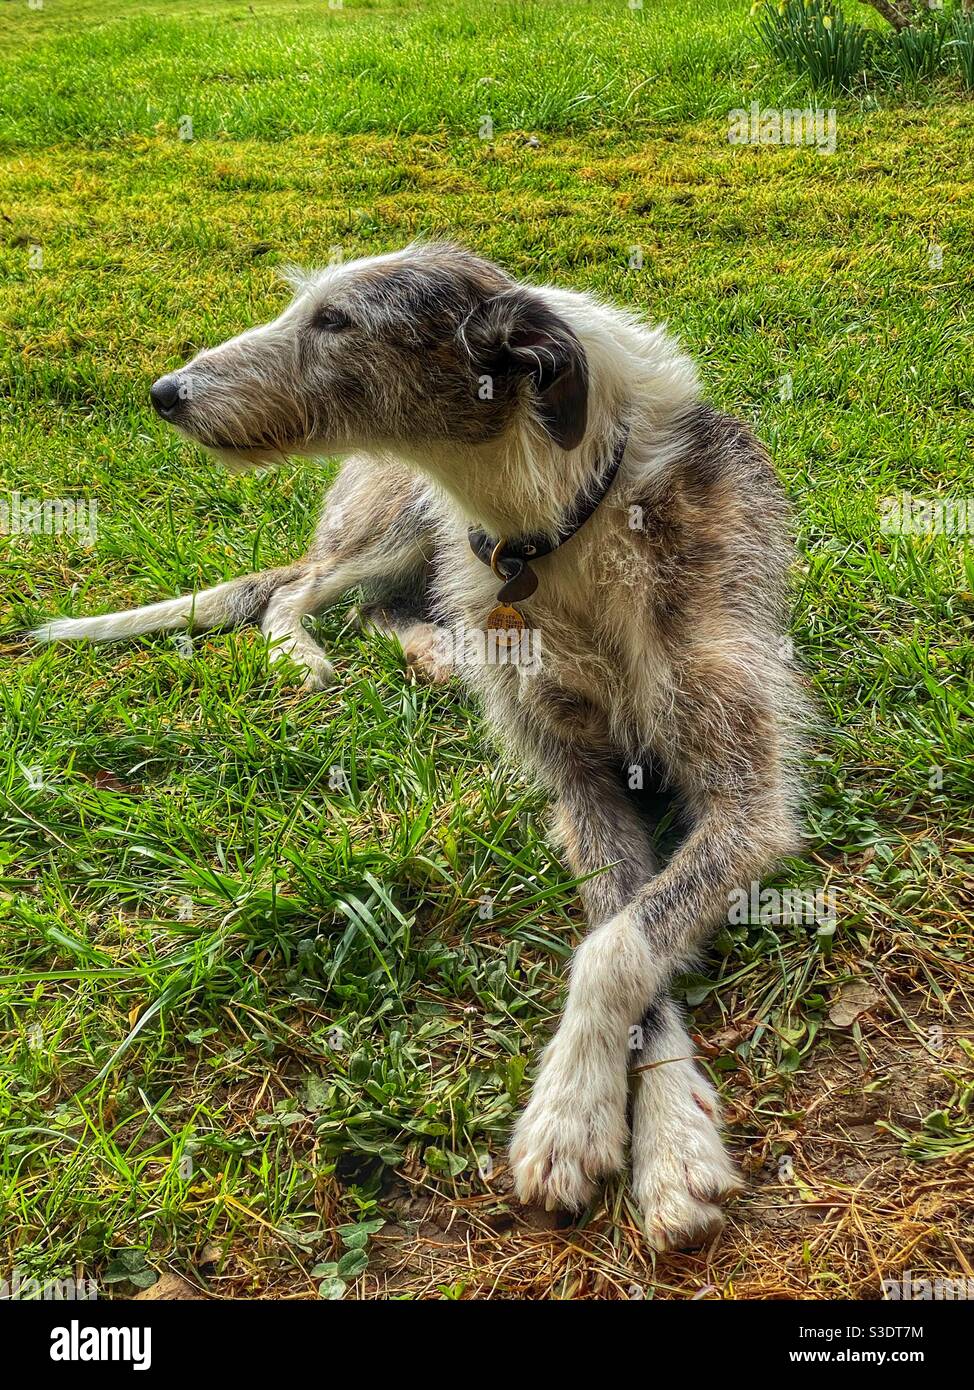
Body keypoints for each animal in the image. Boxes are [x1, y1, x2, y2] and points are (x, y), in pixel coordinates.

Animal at [36, 241, 805, 1251]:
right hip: (397, 523)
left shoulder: (748, 797)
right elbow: (615, 926)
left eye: (336, 321)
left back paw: (429, 649)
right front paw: (595, 1119)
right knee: (304, 591)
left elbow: (623, 944)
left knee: (373, 601)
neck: (561, 517)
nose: (166, 392)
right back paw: (317, 653)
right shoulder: (578, 783)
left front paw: (649, 1138)